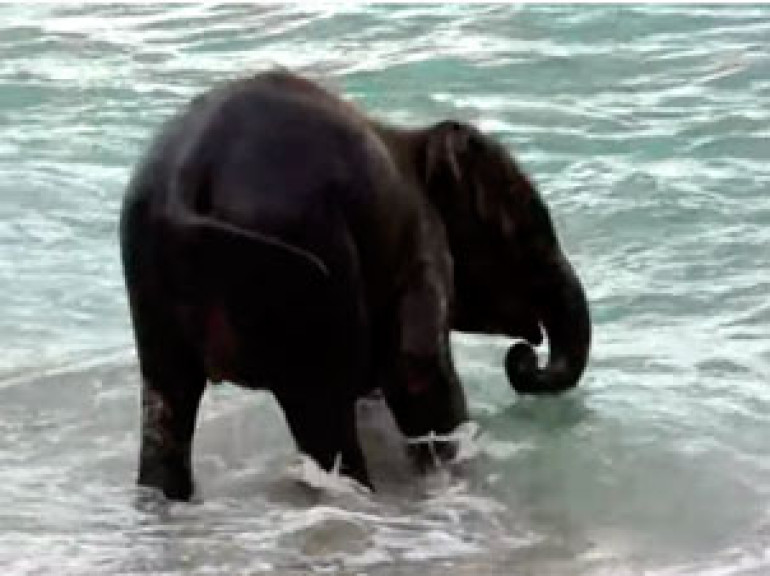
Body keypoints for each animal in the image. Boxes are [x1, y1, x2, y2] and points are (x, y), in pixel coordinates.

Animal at [119, 70, 591, 500]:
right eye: (528, 234)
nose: (523, 358)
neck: (415, 141)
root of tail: (182, 190)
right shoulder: (422, 243)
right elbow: (417, 367)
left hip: (153, 292)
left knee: (166, 404)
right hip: (299, 276)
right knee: (323, 415)